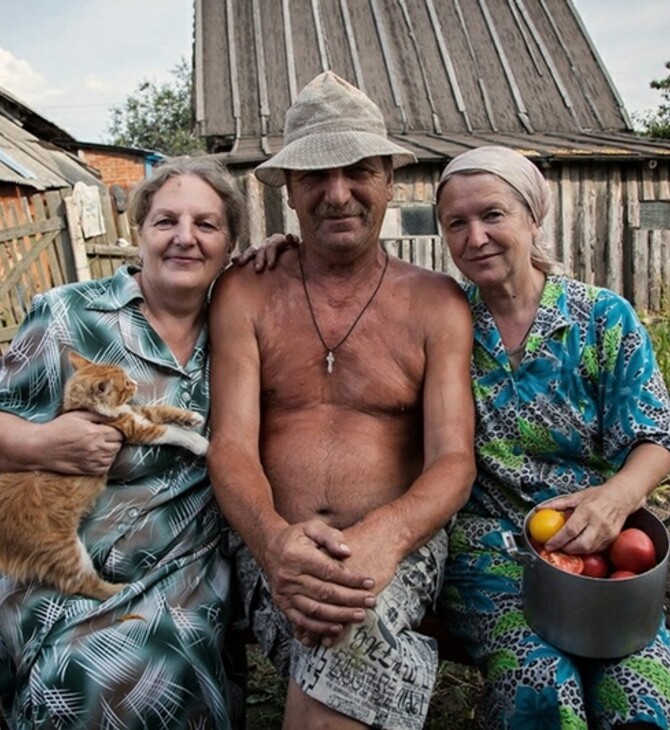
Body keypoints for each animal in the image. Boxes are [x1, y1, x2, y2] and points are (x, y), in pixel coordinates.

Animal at [0, 352, 209, 596]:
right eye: (126, 384)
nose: (135, 383)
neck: (83, 408)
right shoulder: (138, 429)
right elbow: (172, 431)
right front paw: (199, 442)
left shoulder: (137, 413)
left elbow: (163, 410)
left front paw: (191, 417)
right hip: (65, 551)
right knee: (84, 585)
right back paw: (124, 589)